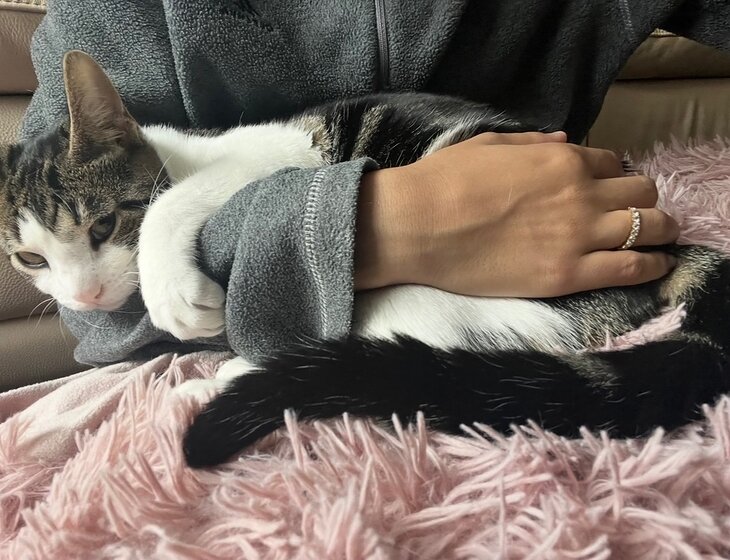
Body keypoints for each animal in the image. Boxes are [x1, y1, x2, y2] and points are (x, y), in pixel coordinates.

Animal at [1, 51, 728, 469]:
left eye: (103, 225)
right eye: (32, 258)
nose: (84, 297)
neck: (182, 152)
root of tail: (662, 249)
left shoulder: (275, 159)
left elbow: (179, 200)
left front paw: (173, 293)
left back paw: (222, 376)